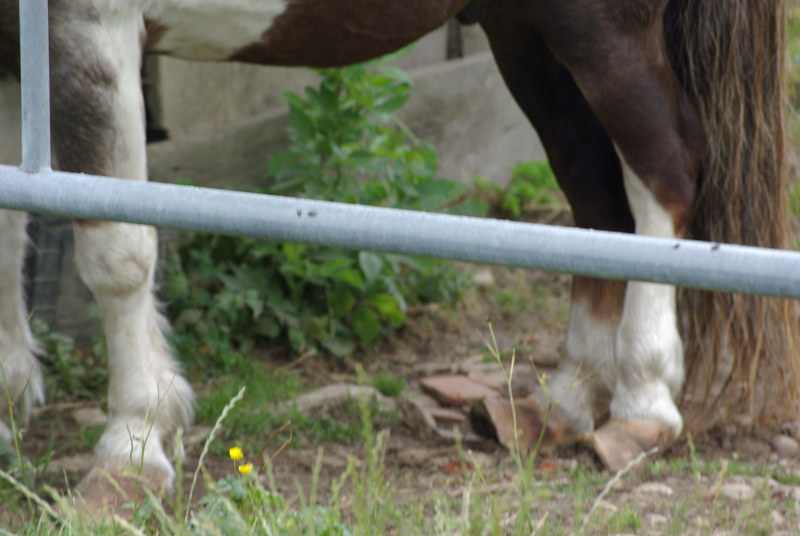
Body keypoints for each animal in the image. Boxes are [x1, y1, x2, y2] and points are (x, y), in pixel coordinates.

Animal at [0, 0, 792, 510]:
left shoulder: (89, 30)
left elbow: (118, 254)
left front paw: (130, 453)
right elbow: (11, 227)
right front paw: (10, 406)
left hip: (598, 28)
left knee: (665, 170)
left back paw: (641, 406)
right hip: (524, 33)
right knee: (595, 191)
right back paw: (560, 403)